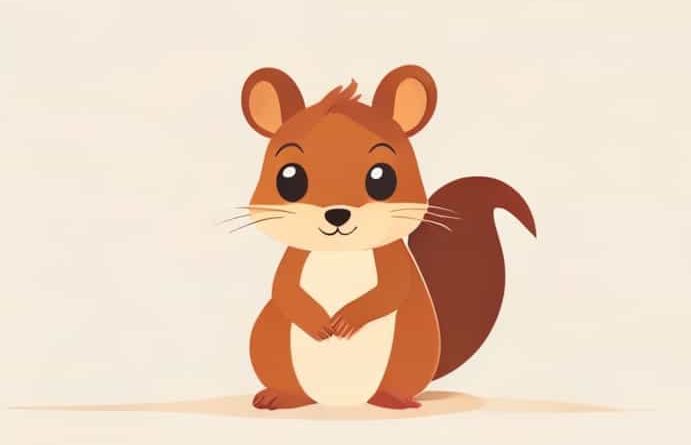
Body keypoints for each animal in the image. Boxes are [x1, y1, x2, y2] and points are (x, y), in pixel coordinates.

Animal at [238, 65, 537, 410]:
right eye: (289, 178)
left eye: (382, 178)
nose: (337, 214)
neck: (341, 253)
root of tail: (341, 401)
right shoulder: (295, 256)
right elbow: (284, 288)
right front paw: (319, 323)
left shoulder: (393, 259)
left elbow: (392, 290)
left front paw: (346, 320)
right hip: (268, 341)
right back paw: (280, 396)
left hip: (410, 352)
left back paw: (393, 400)